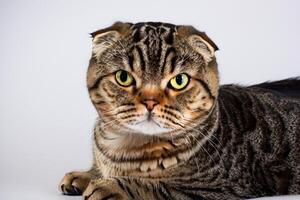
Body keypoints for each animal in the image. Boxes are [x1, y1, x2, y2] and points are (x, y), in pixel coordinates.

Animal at [58, 22, 300, 200]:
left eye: (179, 81)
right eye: (123, 77)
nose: (150, 101)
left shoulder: (215, 187)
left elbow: (153, 186)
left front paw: (109, 186)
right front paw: (84, 175)